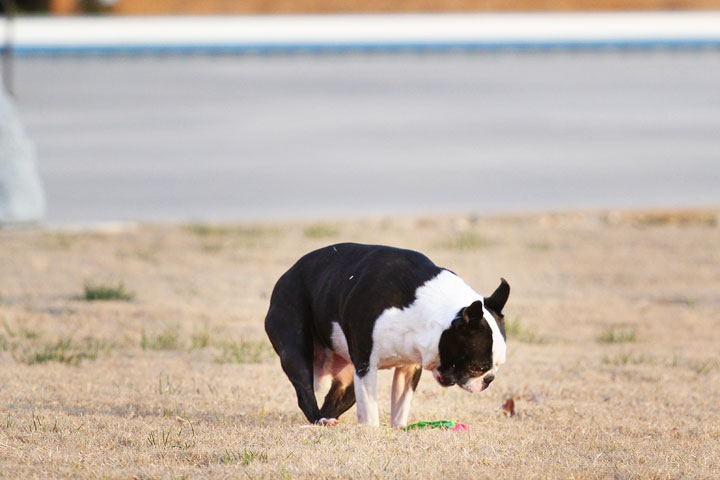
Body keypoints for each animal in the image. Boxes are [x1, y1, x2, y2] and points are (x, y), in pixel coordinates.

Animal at [266, 244, 512, 428]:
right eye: (476, 368)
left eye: (495, 368)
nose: (489, 379)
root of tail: (286, 274)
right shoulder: (365, 364)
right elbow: (370, 407)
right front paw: (371, 430)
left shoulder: (409, 367)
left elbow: (401, 403)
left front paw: (399, 428)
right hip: (295, 346)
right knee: (304, 390)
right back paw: (318, 418)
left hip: (347, 376)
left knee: (335, 399)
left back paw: (327, 419)